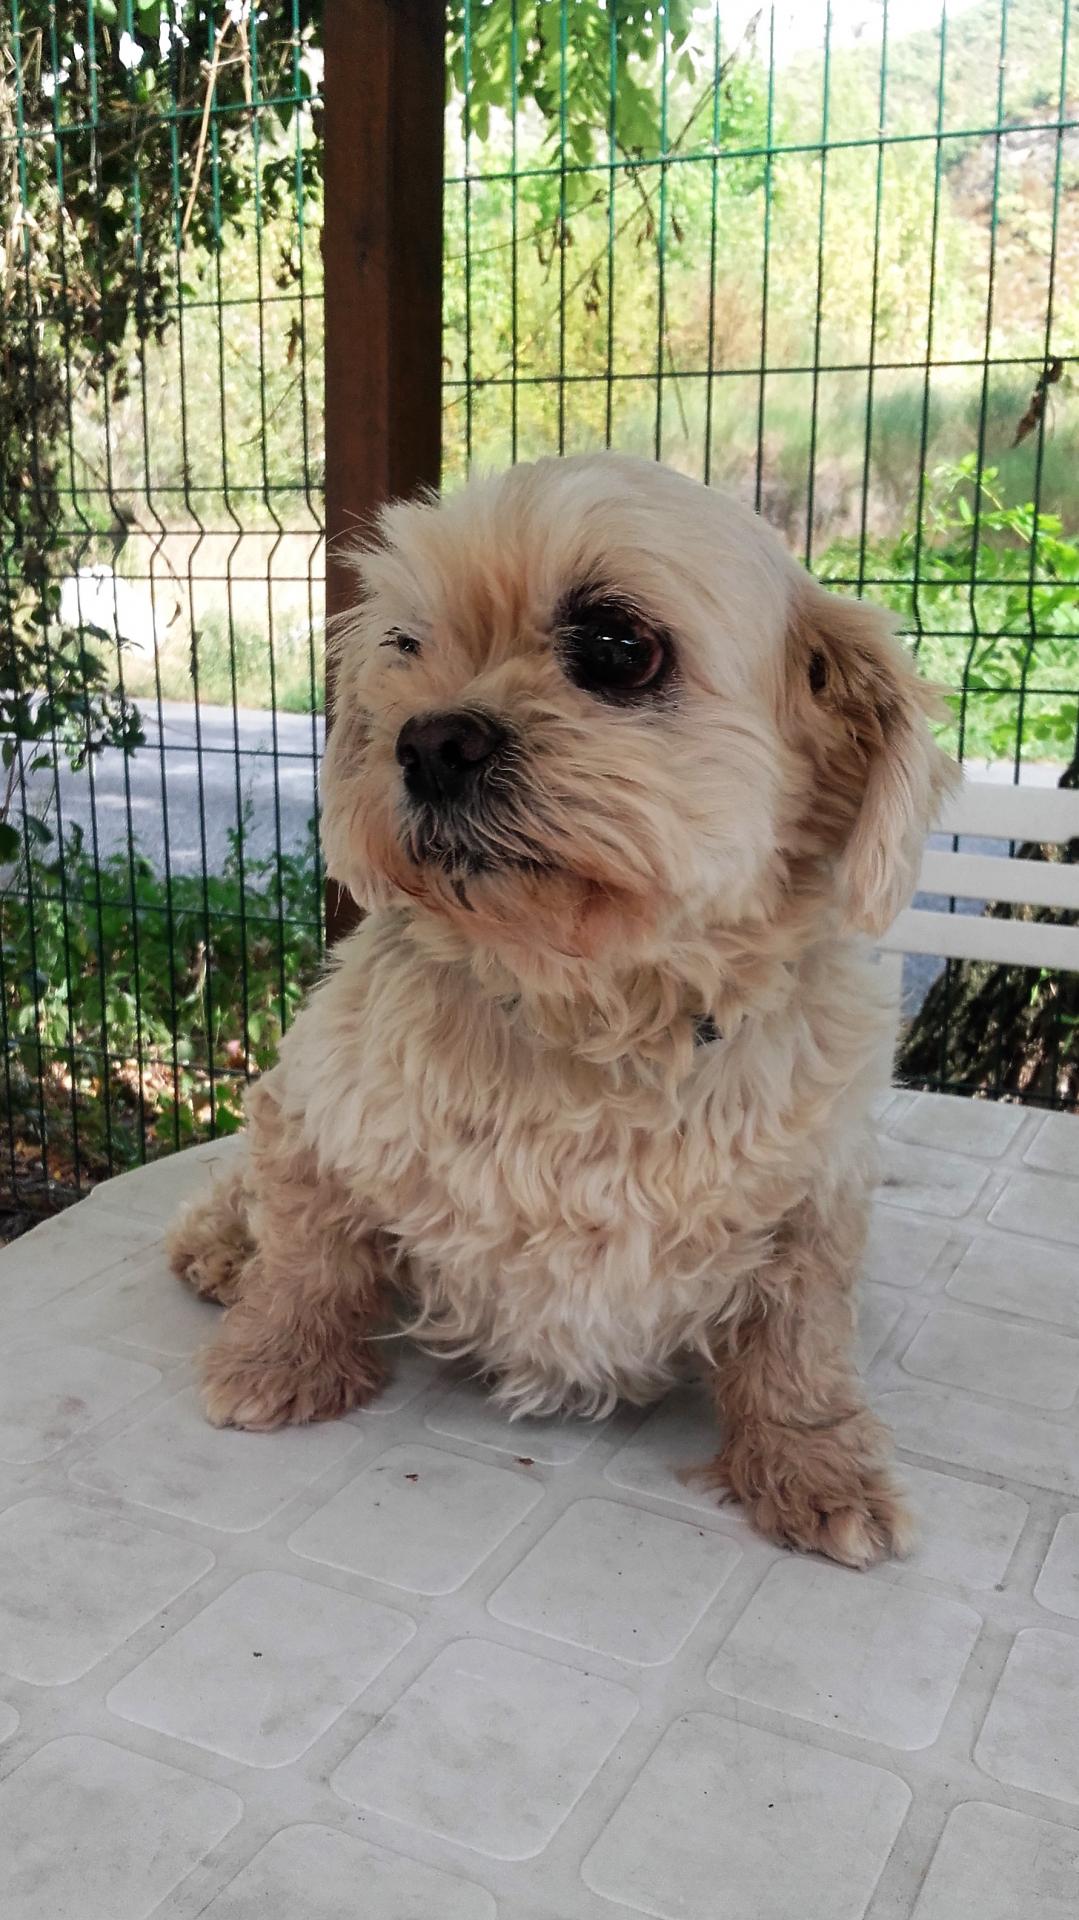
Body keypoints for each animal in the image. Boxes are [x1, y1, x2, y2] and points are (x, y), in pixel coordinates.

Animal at [167, 456, 948, 1566]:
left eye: (619, 646)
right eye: (406, 644)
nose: (429, 739)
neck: (589, 1015)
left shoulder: (816, 1199)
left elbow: (800, 1338)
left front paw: (814, 1463)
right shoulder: (311, 1111)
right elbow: (308, 1256)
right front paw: (276, 1359)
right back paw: (222, 1248)